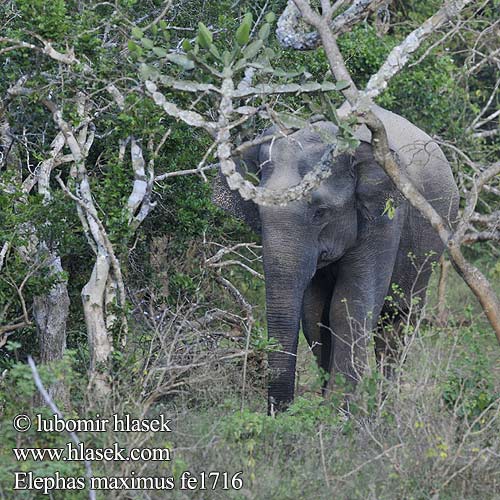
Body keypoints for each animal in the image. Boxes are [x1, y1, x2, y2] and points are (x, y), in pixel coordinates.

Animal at [213, 103, 458, 412]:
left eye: (320, 212)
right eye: (257, 210)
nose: (280, 413)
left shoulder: (386, 215)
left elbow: (349, 307)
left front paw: (336, 414)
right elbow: (314, 314)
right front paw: (326, 409)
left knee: (398, 319)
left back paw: (384, 408)